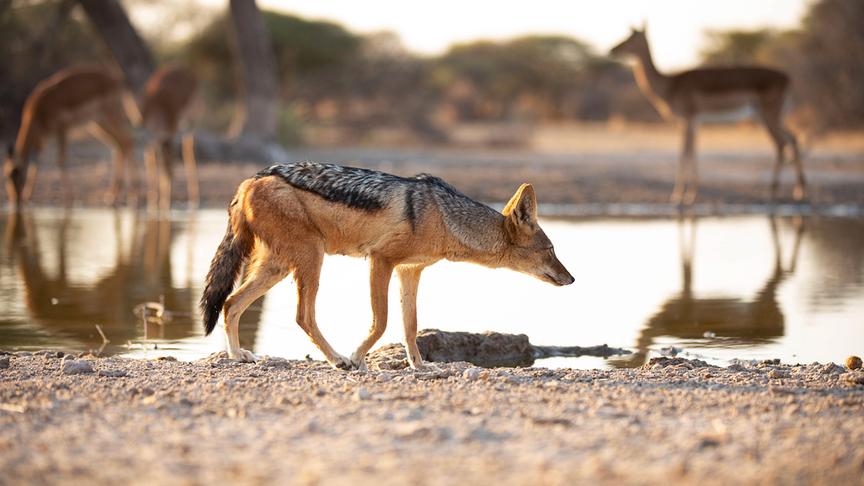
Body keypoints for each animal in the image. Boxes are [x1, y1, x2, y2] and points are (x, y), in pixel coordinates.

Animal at [612, 26, 808, 205]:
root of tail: (787, 78)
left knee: (781, 143)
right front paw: (691, 194)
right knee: (792, 138)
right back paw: (799, 192)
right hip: (766, 116)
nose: (613, 49)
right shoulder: (694, 122)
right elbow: (693, 151)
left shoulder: (687, 119)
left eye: (632, 37)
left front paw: (680, 196)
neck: (670, 84)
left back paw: (773, 192)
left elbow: (684, 153)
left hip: (769, 115)